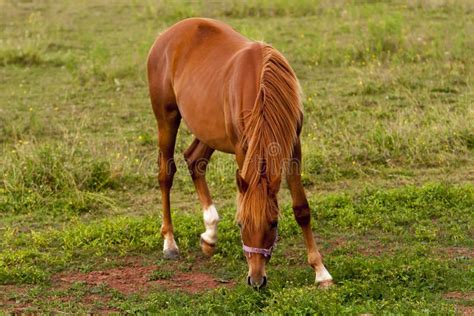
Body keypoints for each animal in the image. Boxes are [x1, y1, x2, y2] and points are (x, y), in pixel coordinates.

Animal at [146, 17, 332, 288]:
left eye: (274, 223)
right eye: (241, 223)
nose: (256, 281)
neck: (262, 84)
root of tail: (166, 35)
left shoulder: (293, 145)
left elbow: (301, 209)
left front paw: (320, 271)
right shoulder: (242, 147)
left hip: (209, 129)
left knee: (195, 160)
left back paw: (210, 234)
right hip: (167, 117)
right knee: (165, 174)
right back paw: (170, 243)